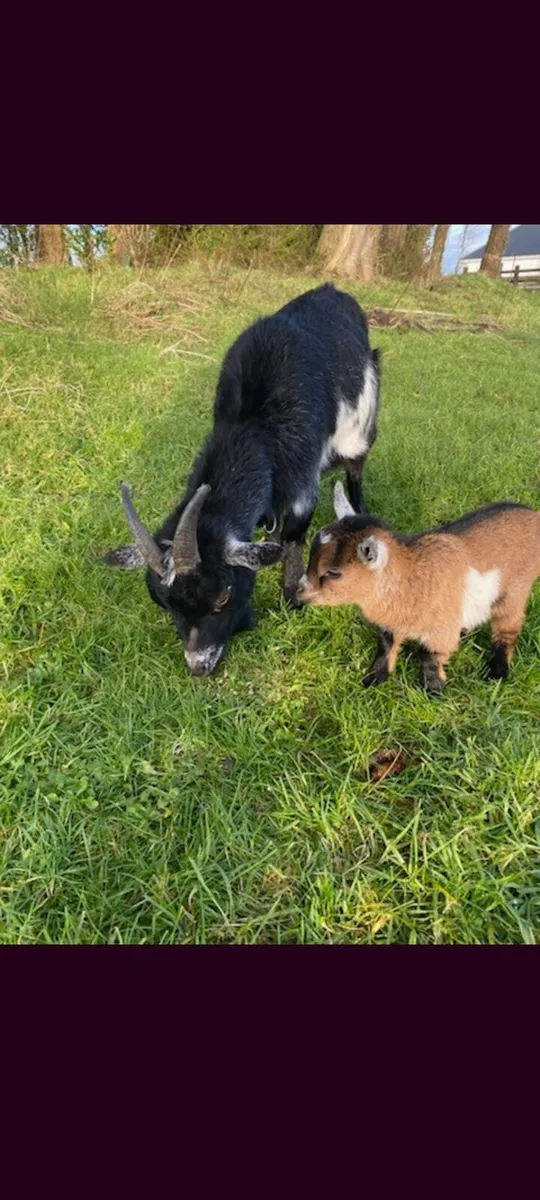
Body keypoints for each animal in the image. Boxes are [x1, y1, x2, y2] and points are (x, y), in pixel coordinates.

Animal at [103, 284, 380, 675]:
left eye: (223, 595)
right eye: (163, 603)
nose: (198, 666)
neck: (252, 425)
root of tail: (334, 291)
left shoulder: (303, 477)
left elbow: (293, 536)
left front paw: (293, 598)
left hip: (361, 421)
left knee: (356, 467)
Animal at [297, 482, 540, 692]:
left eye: (333, 572)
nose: (300, 592)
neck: (412, 582)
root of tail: (532, 514)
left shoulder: (440, 629)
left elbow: (429, 656)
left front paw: (433, 690)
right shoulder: (389, 624)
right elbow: (385, 647)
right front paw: (374, 679)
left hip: (515, 588)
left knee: (509, 626)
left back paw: (496, 671)